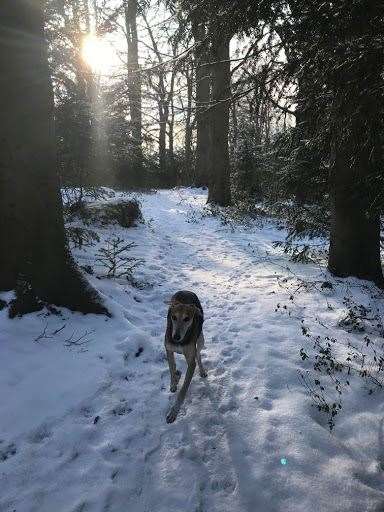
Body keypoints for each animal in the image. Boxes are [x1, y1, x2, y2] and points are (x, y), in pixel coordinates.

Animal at [164, 290, 207, 422]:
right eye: (173, 317)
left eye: (187, 318)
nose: (176, 337)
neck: (180, 342)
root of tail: (187, 291)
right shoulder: (168, 349)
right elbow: (172, 367)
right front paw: (174, 382)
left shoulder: (191, 362)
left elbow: (183, 390)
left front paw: (174, 412)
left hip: (201, 338)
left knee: (198, 354)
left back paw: (202, 370)